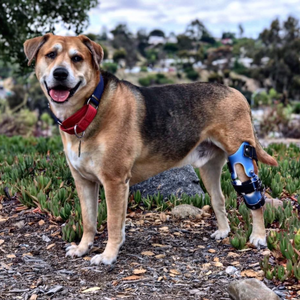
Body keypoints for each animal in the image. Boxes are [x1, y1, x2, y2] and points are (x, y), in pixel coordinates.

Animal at [24, 34, 278, 264]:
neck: (90, 108)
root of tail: (237, 92)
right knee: (219, 199)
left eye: (77, 58)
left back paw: (258, 236)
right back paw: (224, 231)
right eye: (51, 55)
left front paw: (108, 255)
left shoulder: (114, 182)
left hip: (242, 160)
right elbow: (89, 221)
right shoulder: (84, 181)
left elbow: (113, 223)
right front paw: (83, 247)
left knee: (255, 199)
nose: (60, 73)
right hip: (208, 168)